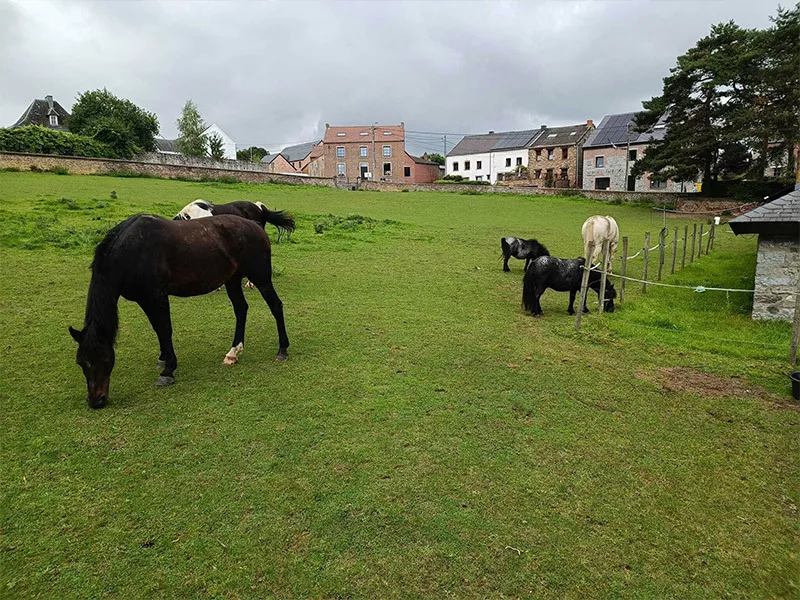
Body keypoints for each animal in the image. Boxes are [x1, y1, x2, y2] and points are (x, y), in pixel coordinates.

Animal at [70, 209, 296, 410]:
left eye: (105, 360)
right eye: (80, 362)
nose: (96, 401)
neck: (131, 249)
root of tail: (255, 225)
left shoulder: (156, 297)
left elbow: (165, 329)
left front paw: (168, 370)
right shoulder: (145, 299)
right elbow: (157, 329)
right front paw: (163, 359)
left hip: (260, 278)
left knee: (275, 306)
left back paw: (282, 350)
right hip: (232, 279)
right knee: (241, 309)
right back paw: (233, 352)